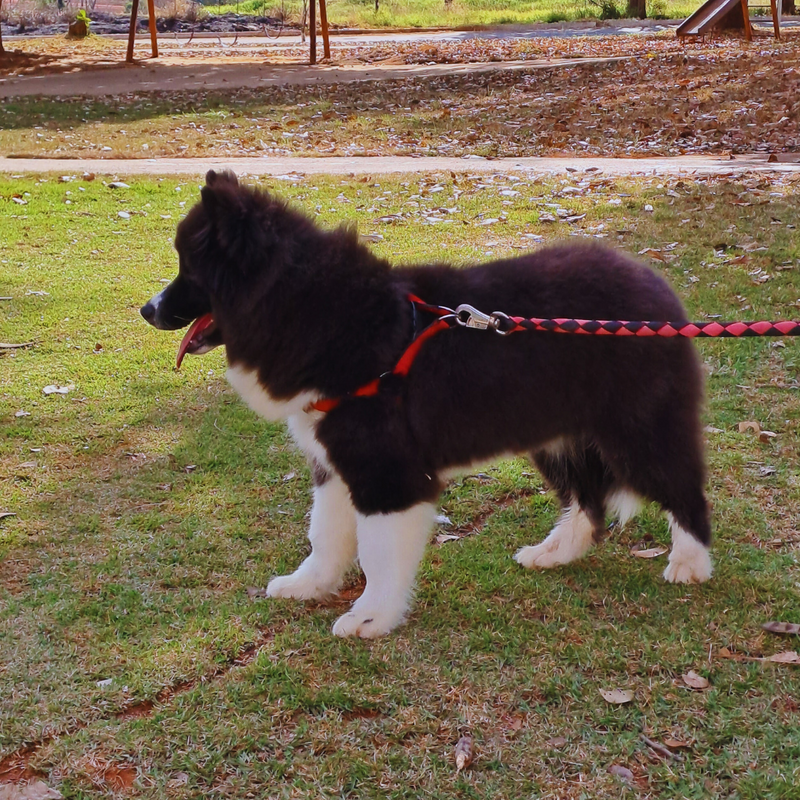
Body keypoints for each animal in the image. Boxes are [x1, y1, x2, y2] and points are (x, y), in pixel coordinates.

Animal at [142, 170, 712, 636]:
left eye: (188, 269)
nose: (147, 310)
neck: (314, 311)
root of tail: (655, 285)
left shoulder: (387, 474)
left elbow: (377, 553)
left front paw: (370, 618)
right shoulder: (335, 463)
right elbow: (323, 534)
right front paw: (309, 586)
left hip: (637, 428)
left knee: (683, 489)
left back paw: (690, 563)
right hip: (556, 433)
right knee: (587, 500)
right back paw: (554, 552)